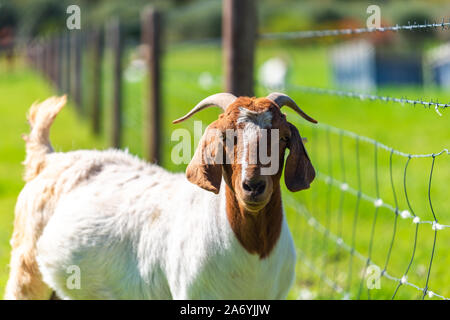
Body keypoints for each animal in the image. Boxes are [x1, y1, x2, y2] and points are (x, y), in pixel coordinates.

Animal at [4, 93, 316, 300]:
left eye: (282, 138)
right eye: (226, 138)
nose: (252, 186)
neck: (253, 253)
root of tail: (48, 159)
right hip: (26, 268)